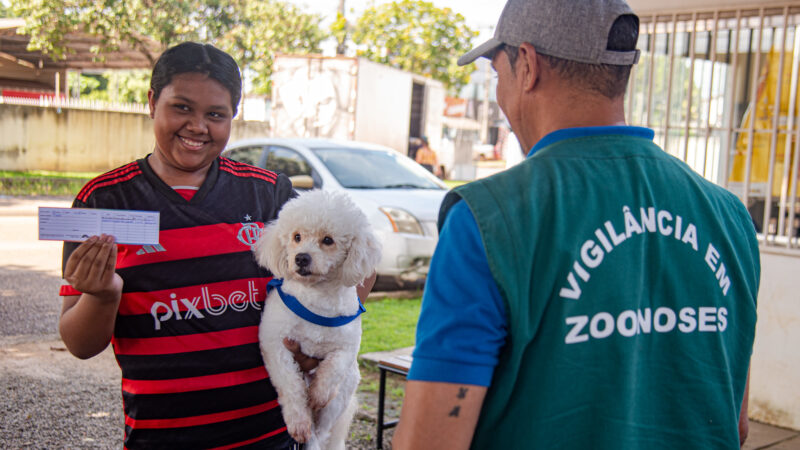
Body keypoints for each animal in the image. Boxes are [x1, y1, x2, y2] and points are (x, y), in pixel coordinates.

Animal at [255, 190, 382, 450]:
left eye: (328, 240)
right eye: (296, 237)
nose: (301, 258)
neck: (317, 298)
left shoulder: (347, 347)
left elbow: (332, 369)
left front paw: (317, 394)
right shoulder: (274, 344)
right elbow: (291, 386)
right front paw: (298, 422)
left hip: (341, 398)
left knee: (321, 432)